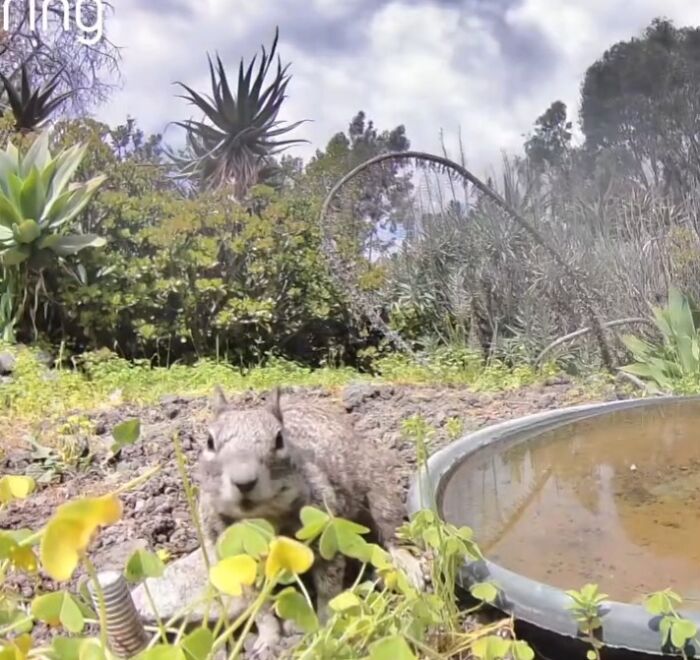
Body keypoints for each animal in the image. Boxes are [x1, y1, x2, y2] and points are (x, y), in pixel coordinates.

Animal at [196, 386, 423, 658]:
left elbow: (328, 589)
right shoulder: (235, 556)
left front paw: (325, 627)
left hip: (380, 493)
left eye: (279, 440)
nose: (244, 481)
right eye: (209, 442)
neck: (264, 517)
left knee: (392, 534)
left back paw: (409, 566)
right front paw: (268, 640)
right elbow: (258, 607)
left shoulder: (325, 534)